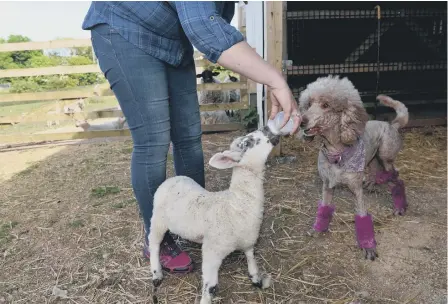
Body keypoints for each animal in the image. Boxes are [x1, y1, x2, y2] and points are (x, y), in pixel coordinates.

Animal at [149, 124, 280, 302]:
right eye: (248, 142)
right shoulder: (212, 251)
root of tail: (172, 179)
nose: (267, 127)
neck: (236, 202)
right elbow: (210, 285)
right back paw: (156, 273)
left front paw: (256, 279)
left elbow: (251, 258)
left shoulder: (249, 240)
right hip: (158, 220)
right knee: (154, 244)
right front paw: (205, 299)